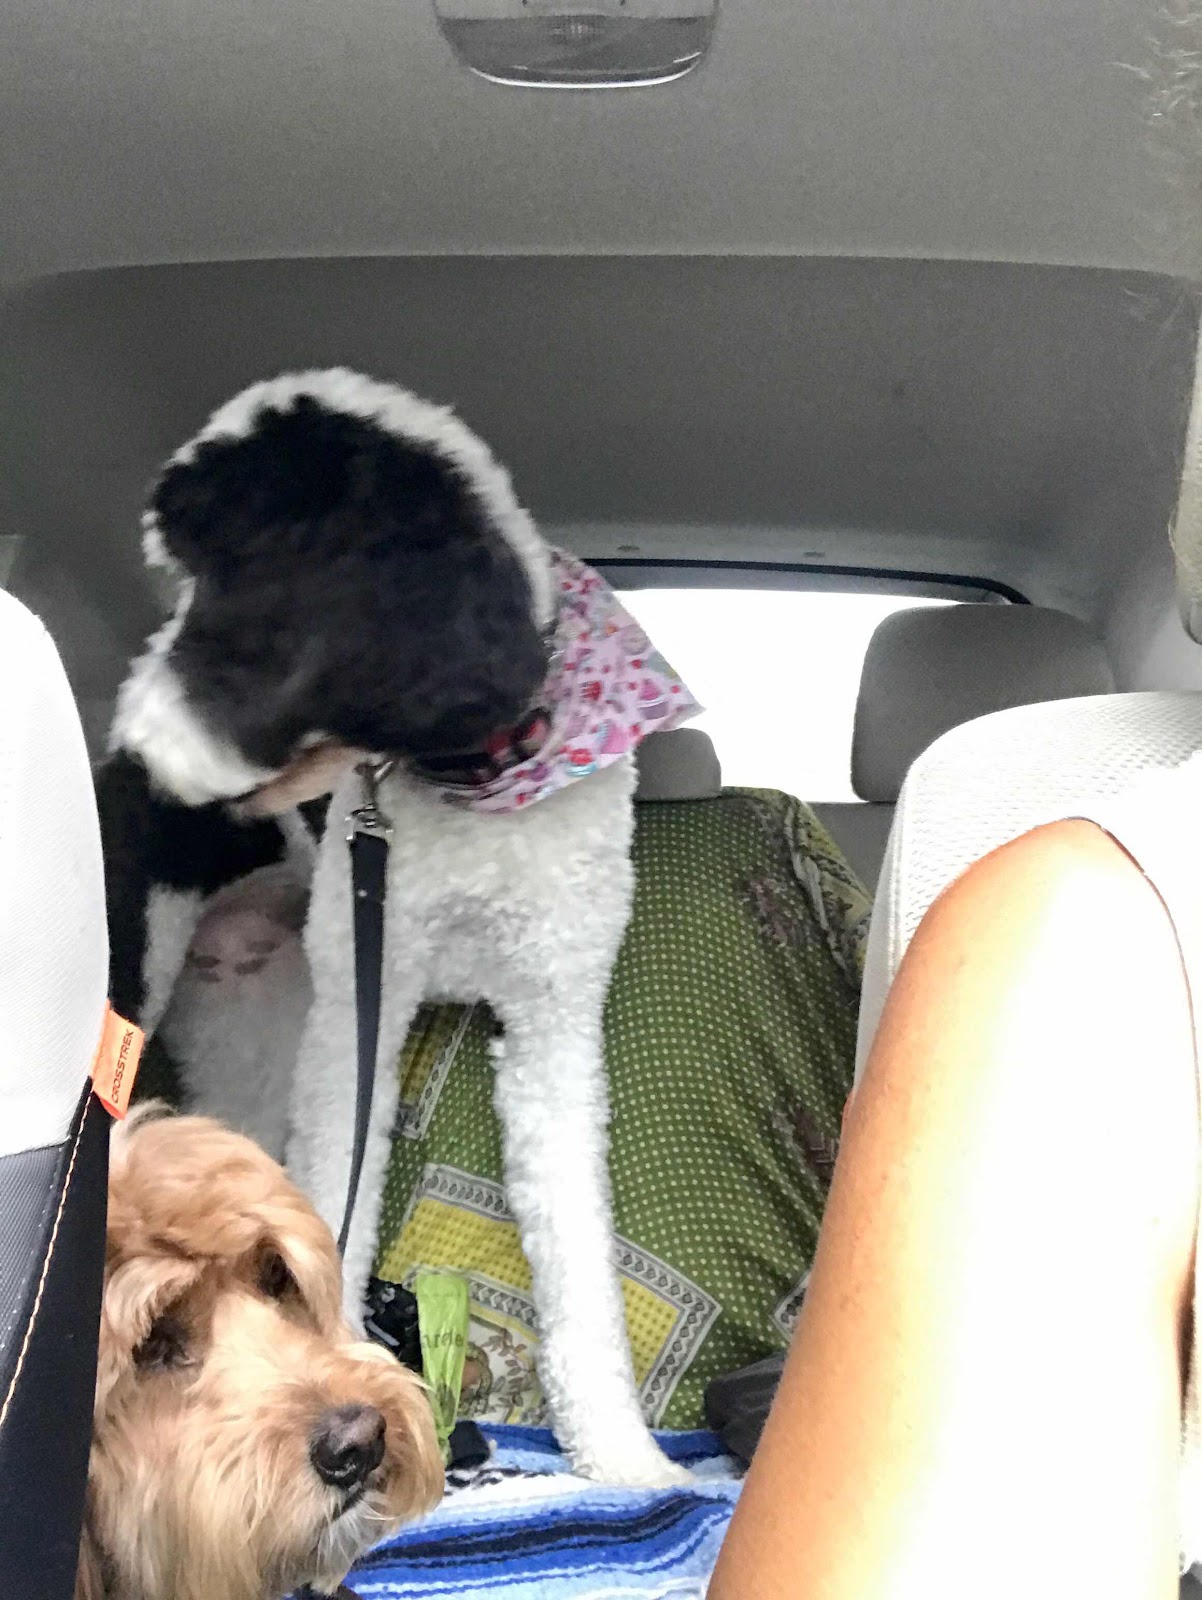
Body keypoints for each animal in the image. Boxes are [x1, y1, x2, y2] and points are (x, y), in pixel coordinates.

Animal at [98, 368, 699, 1486]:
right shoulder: (358, 1016)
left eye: (237, 589)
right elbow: (340, 1193)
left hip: (256, 1018)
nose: (137, 747)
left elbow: (578, 1252)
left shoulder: (553, 1025)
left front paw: (622, 1454)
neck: (477, 785)